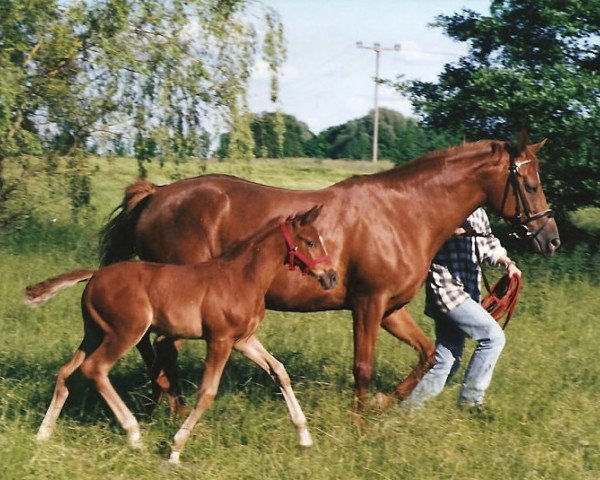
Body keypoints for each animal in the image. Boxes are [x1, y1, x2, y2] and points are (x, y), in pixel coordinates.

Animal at [24, 205, 338, 462]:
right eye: (310, 241)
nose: (331, 277)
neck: (241, 278)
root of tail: (95, 275)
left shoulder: (244, 341)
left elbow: (279, 371)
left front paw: (304, 438)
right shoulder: (220, 340)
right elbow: (207, 392)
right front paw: (175, 449)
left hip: (94, 334)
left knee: (67, 372)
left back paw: (43, 434)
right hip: (125, 332)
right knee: (95, 369)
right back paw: (134, 435)